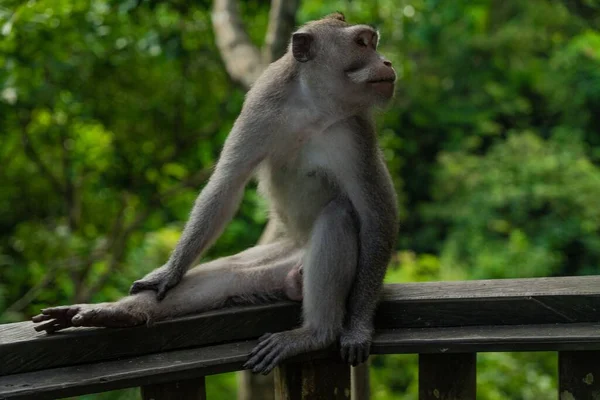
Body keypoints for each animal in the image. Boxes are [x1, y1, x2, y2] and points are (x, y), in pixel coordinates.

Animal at [32, 12, 398, 376]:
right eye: (362, 43)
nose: (388, 61)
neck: (314, 108)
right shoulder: (260, 108)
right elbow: (225, 186)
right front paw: (168, 273)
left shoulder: (355, 132)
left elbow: (377, 218)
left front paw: (357, 328)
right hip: (280, 256)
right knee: (228, 275)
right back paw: (116, 313)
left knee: (338, 215)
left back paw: (316, 333)